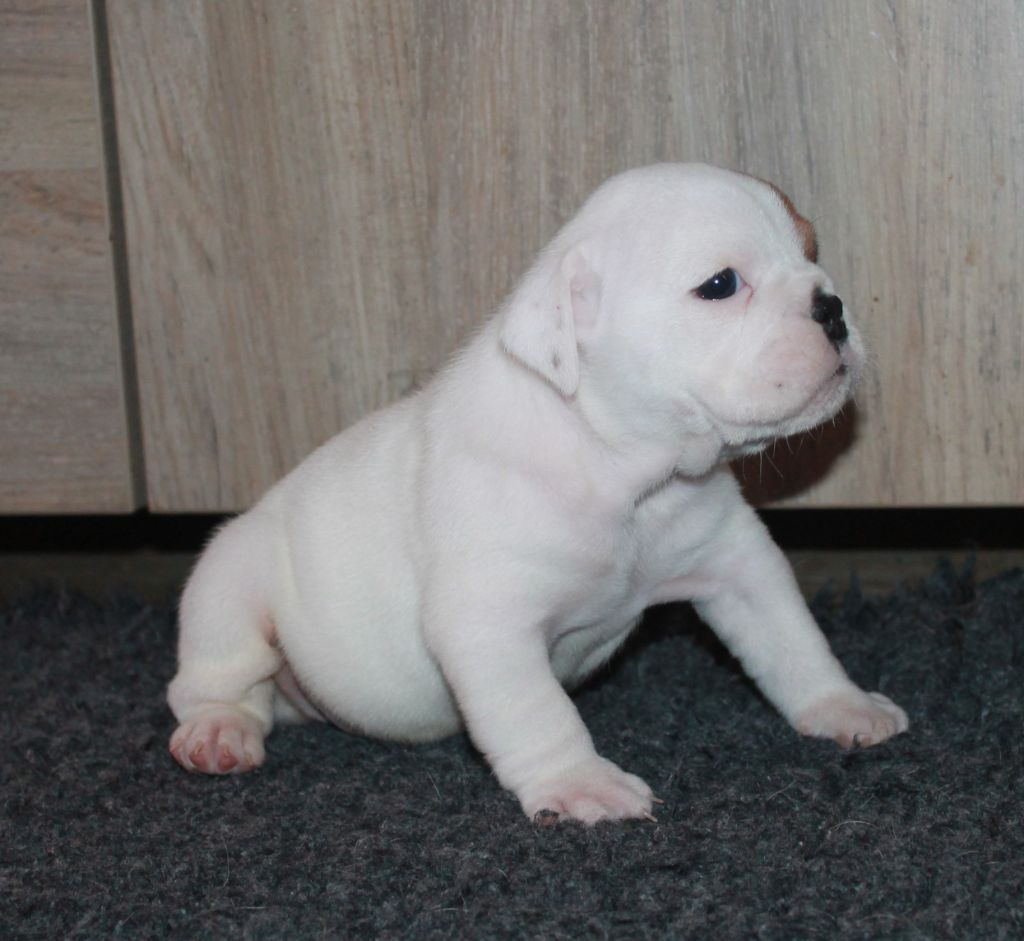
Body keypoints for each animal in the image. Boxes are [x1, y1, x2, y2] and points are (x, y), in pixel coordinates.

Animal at [169, 163, 913, 823]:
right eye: (721, 284)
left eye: (812, 252)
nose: (832, 305)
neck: (625, 468)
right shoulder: (491, 622)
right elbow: (539, 712)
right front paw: (580, 783)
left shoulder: (740, 568)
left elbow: (794, 640)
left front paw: (842, 704)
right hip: (228, 582)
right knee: (214, 679)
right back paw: (219, 731)